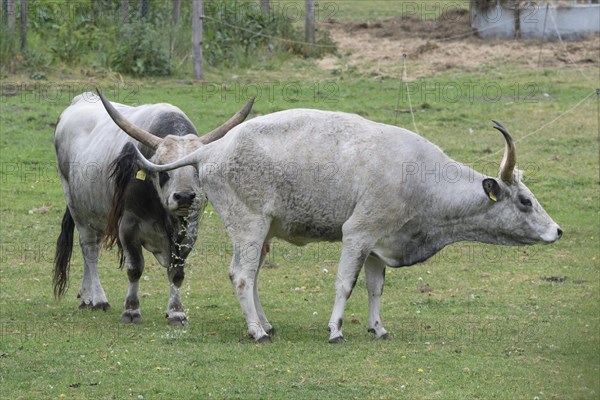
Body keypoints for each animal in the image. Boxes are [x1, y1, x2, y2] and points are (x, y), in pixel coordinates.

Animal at [52, 90, 254, 324]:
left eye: (197, 170)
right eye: (163, 171)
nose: (185, 197)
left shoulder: (190, 232)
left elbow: (177, 273)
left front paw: (176, 312)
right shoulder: (127, 227)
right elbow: (135, 269)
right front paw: (131, 310)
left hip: (98, 213)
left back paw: (86, 297)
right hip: (77, 208)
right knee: (90, 250)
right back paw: (99, 299)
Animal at [98, 101, 564, 342]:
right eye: (525, 201)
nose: (557, 230)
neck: (418, 178)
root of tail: (212, 150)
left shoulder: (378, 241)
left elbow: (375, 287)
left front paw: (378, 328)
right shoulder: (357, 234)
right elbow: (346, 283)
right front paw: (336, 329)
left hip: (262, 231)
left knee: (253, 275)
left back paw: (265, 323)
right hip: (249, 225)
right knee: (242, 275)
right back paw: (257, 331)